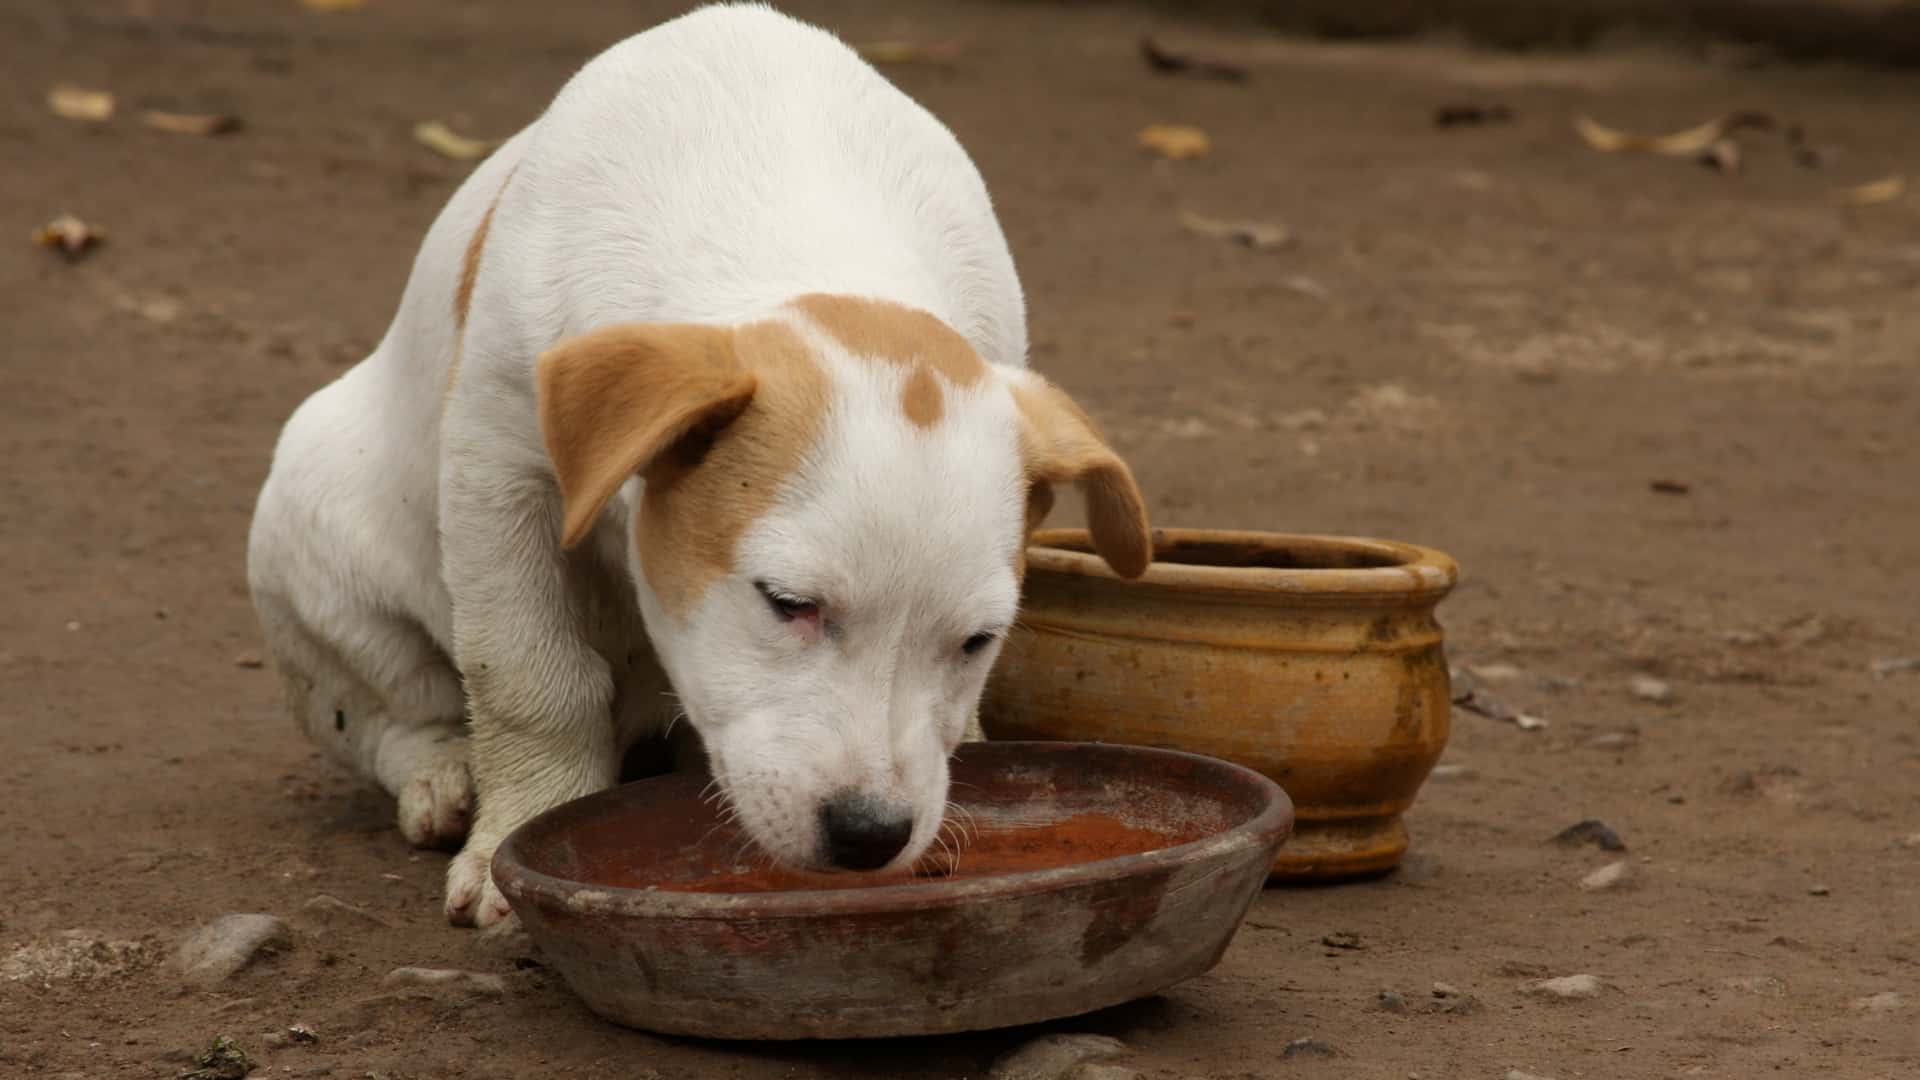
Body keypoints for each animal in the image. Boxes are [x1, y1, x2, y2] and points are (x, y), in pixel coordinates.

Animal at [245, 2, 1144, 926]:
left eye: (978, 640)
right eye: (787, 603)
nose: (871, 836)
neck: (795, 210)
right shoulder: (498, 472)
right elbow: (528, 678)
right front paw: (511, 846)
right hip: (316, 544)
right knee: (384, 713)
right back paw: (445, 778)